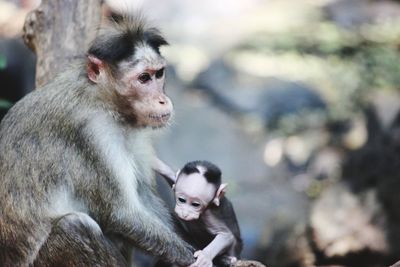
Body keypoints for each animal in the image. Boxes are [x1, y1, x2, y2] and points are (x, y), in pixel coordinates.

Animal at [0, 12, 195, 267]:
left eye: (158, 74)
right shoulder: (92, 133)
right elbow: (122, 214)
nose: (162, 100)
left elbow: (143, 197)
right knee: (74, 225)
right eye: (143, 78)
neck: (104, 101)